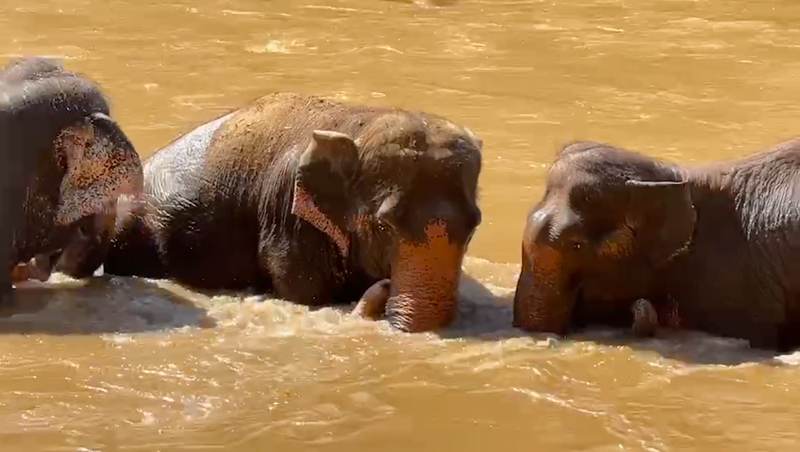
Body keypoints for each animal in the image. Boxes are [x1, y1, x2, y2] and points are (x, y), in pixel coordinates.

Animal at [103, 91, 484, 332]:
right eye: (384, 226)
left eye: (475, 225)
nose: (387, 284)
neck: (359, 122)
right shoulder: (288, 217)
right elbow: (304, 293)